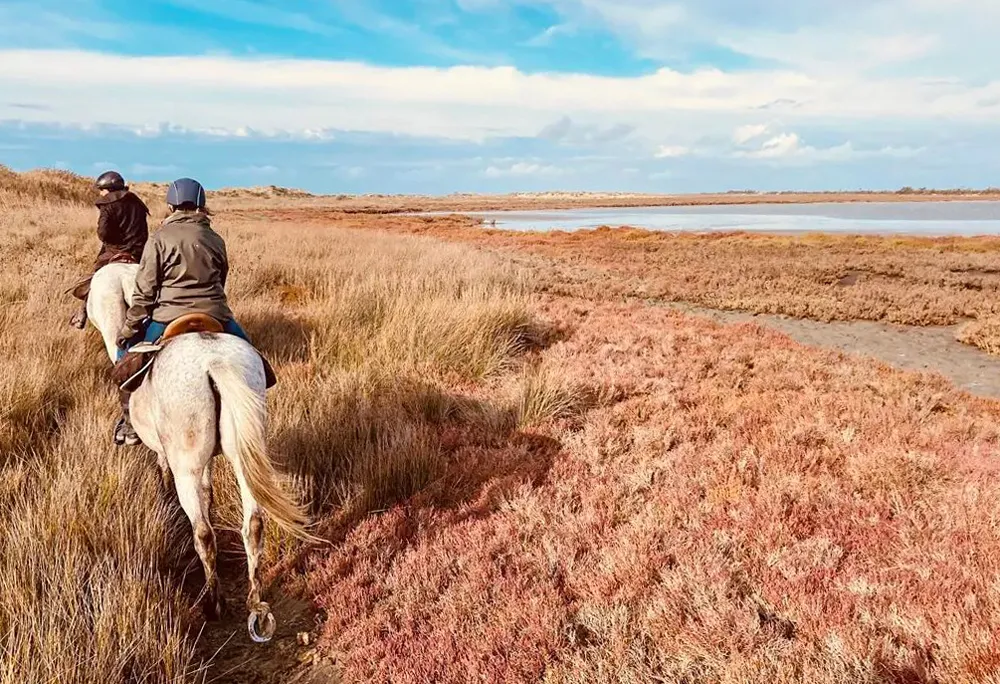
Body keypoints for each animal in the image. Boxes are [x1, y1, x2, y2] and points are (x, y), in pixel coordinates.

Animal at [86, 263, 310, 642]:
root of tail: (214, 363)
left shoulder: (170, 455)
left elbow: (168, 477)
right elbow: (209, 493)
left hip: (187, 465)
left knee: (203, 533)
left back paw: (213, 603)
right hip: (244, 456)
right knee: (253, 524)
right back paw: (255, 603)